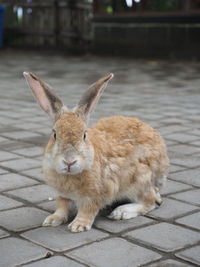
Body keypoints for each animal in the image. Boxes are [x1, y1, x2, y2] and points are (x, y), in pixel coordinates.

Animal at [23, 71, 170, 232]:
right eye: (54, 134)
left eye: (84, 135)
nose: (69, 161)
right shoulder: (62, 195)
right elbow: (62, 207)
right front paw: (52, 220)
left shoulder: (96, 194)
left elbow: (88, 209)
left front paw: (78, 226)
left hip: (139, 179)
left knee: (153, 201)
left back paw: (121, 212)